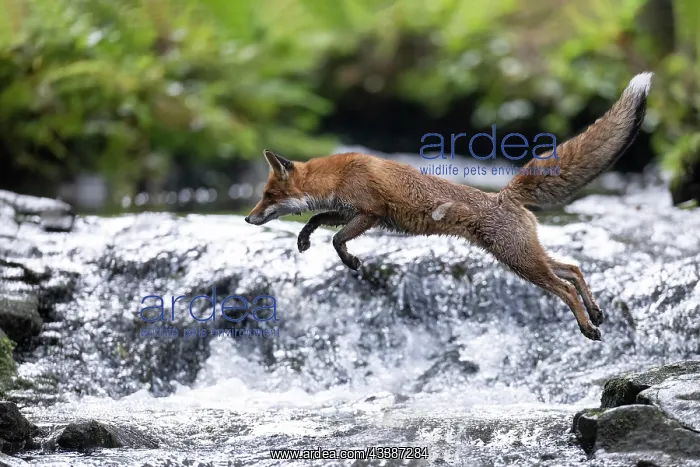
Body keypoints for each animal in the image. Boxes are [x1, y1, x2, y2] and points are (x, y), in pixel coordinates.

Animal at [245, 72, 653, 341]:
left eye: (268, 196)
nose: (248, 218)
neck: (338, 177)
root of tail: (504, 194)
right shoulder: (347, 211)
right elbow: (317, 218)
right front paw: (303, 238)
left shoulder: (370, 212)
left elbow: (337, 239)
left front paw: (349, 260)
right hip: (524, 256)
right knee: (573, 268)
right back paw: (595, 311)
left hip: (519, 261)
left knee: (564, 286)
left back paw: (586, 325)